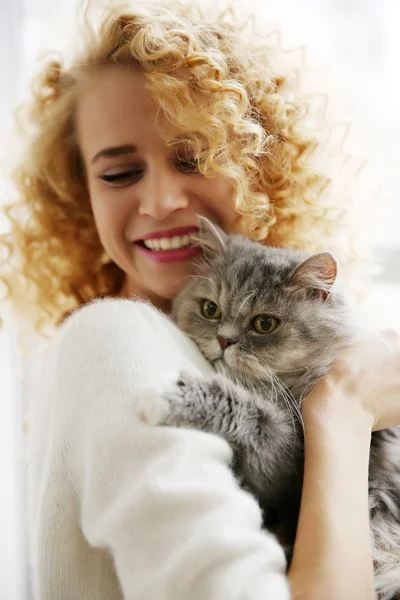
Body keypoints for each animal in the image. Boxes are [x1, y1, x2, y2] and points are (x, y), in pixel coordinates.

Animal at [138, 219, 400, 600]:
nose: (224, 340)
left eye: (265, 324)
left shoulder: (288, 460)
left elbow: (249, 411)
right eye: (210, 310)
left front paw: (166, 392)